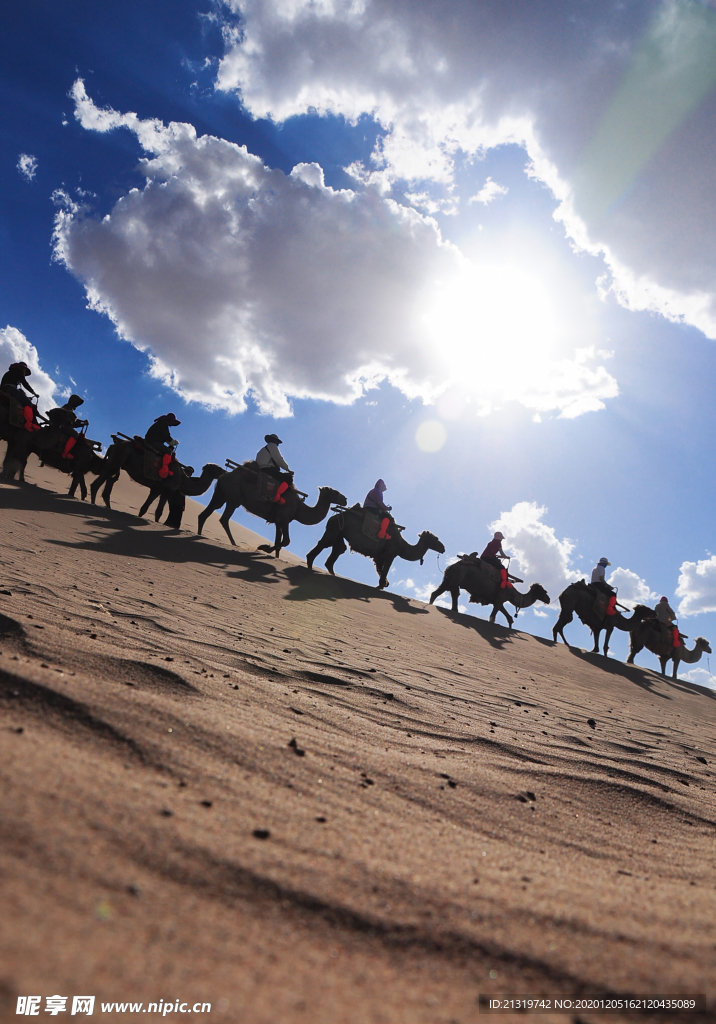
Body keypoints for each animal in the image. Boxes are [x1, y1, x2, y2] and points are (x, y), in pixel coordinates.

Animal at [195, 466, 348, 561]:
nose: (345, 499)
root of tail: (224, 475)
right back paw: (233, 543)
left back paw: (200, 534)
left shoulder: (278, 521)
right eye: (335, 492)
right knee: (224, 519)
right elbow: (286, 541)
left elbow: (278, 542)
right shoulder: (284, 518)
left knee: (205, 513)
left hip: (221, 495)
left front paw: (274, 556)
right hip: (233, 498)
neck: (298, 507)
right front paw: (263, 548)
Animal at [305, 505, 444, 589]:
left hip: (339, 530)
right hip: (334, 528)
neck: (402, 545)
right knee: (325, 543)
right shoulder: (390, 554)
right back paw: (310, 566)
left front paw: (383, 584)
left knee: (338, 548)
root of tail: (335, 515)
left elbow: (380, 569)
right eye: (436, 539)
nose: (443, 548)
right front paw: (381, 585)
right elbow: (385, 570)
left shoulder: (379, 556)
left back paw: (331, 573)